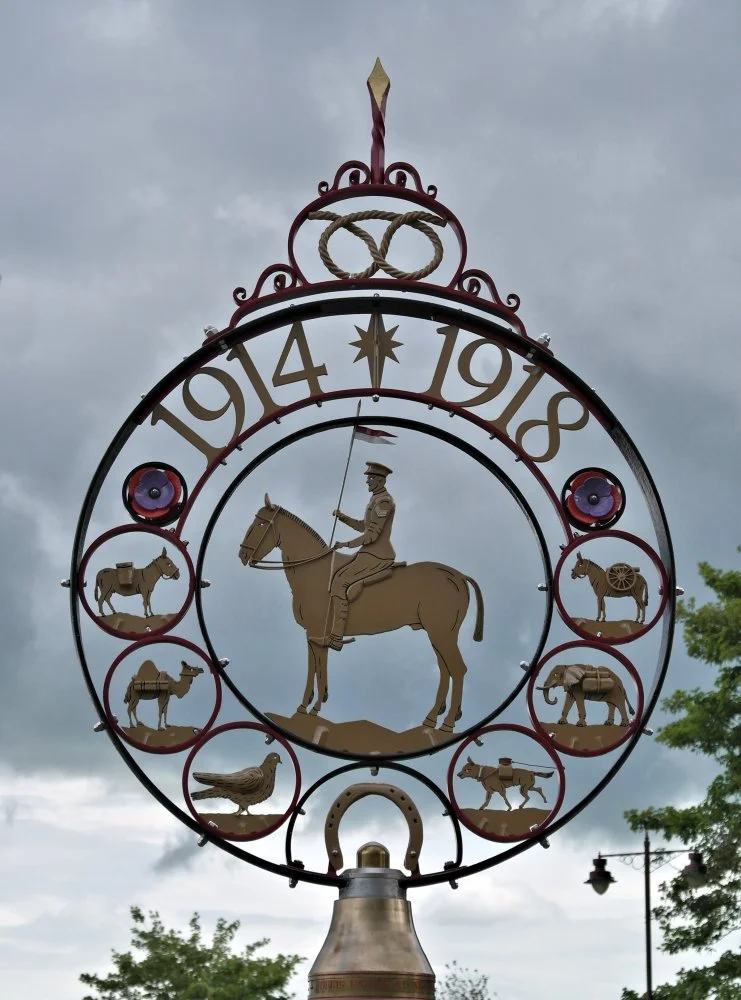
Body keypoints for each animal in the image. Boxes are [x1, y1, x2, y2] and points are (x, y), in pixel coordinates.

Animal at [234, 494, 482, 736]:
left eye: (261, 523)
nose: (242, 555)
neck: (316, 570)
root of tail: (458, 576)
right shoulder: (313, 636)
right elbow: (315, 667)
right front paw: (309, 705)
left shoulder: (316, 633)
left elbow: (318, 667)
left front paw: (311, 707)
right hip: (437, 635)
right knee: (445, 670)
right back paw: (431, 720)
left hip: (442, 634)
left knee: (457, 669)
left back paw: (447, 724)